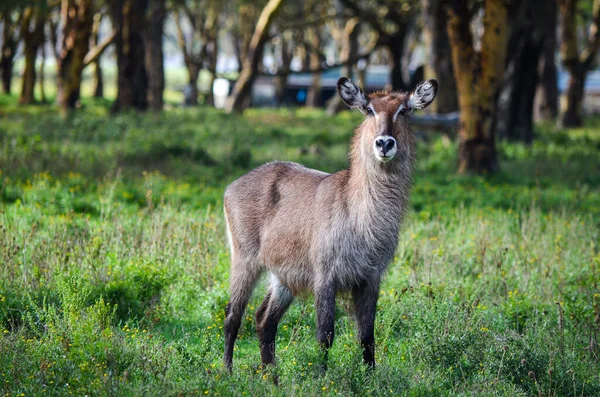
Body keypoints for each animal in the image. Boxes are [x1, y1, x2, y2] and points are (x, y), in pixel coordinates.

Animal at [223, 78, 438, 372]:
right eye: (369, 109)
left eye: (403, 110)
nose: (384, 143)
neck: (361, 218)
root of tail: (231, 186)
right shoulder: (326, 276)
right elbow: (325, 335)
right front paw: (322, 376)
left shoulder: (370, 279)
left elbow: (367, 336)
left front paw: (370, 377)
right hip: (244, 260)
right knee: (232, 317)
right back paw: (227, 372)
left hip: (283, 277)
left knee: (264, 320)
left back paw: (271, 375)